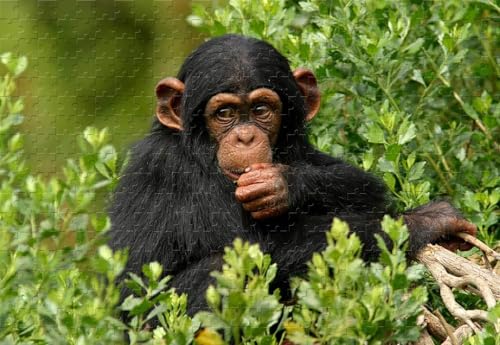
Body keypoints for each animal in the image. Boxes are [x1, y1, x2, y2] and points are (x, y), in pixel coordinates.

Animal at [109, 34, 476, 312]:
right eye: (224, 113)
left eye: (261, 109)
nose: (245, 137)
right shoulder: (173, 169)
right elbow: (253, 249)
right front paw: (425, 221)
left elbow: (363, 185)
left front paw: (284, 185)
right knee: (220, 268)